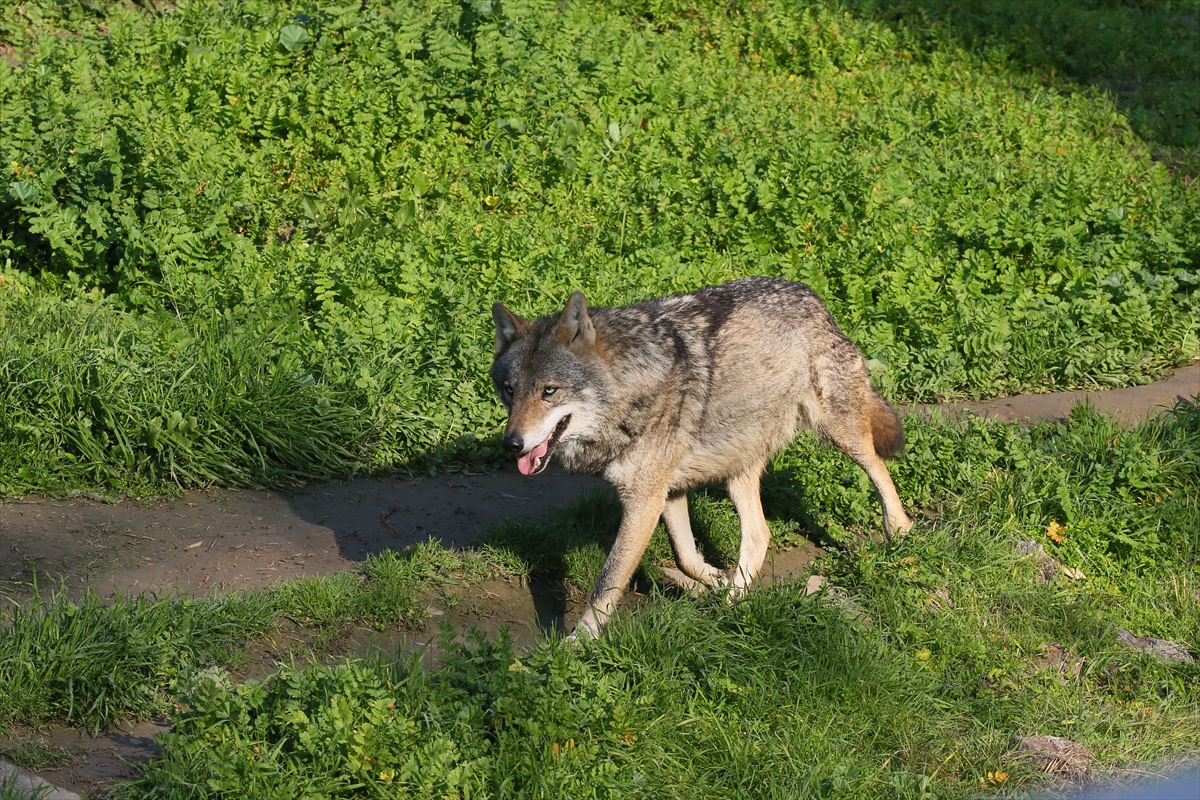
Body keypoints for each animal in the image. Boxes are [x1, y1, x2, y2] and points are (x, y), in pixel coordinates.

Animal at [487, 275, 907, 638]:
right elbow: (685, 556)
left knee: (878, 466)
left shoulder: (644, 500)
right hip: (738, 469)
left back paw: (899, 531)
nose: (512, 444)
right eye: (509, 390)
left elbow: (606, 583)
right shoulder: (667, 492)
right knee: (760, 533)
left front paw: (578, 643)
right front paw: (716, 580)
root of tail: (809, 293)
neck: (631, 386)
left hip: (839, 432)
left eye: (549, 391)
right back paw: (734, 602)